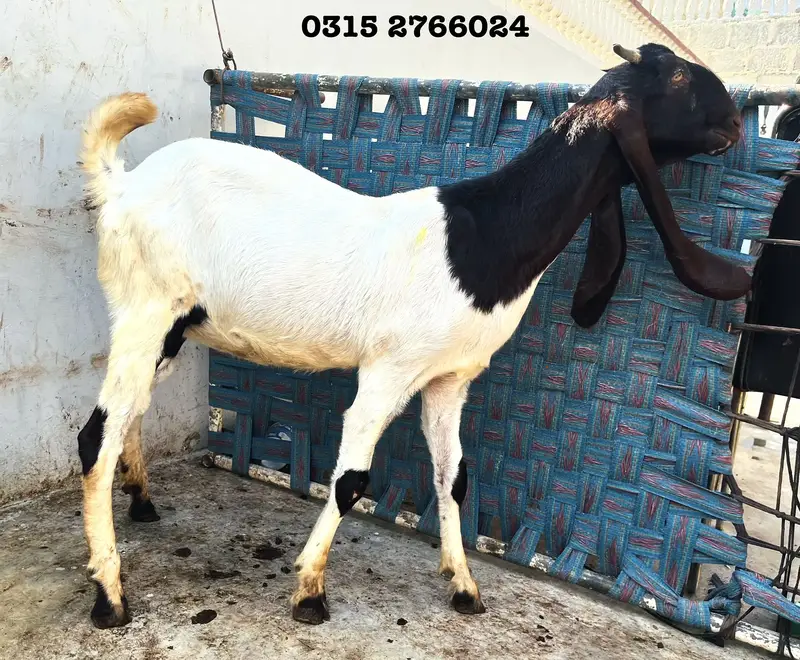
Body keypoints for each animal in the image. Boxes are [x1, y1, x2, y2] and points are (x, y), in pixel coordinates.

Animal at [76, 42, 747, 629]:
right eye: (677, 79)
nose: (737, 121)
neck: (486, 234)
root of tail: (121, 184)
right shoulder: (389, 368)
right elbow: (351, 479)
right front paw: (310, 591)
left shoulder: (449, 379)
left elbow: (455, 477)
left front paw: (465, 586)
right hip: (147, 309)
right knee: (94, 436)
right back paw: (110, 595)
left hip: (171, 327)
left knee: (131, 413)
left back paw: (140, 501)